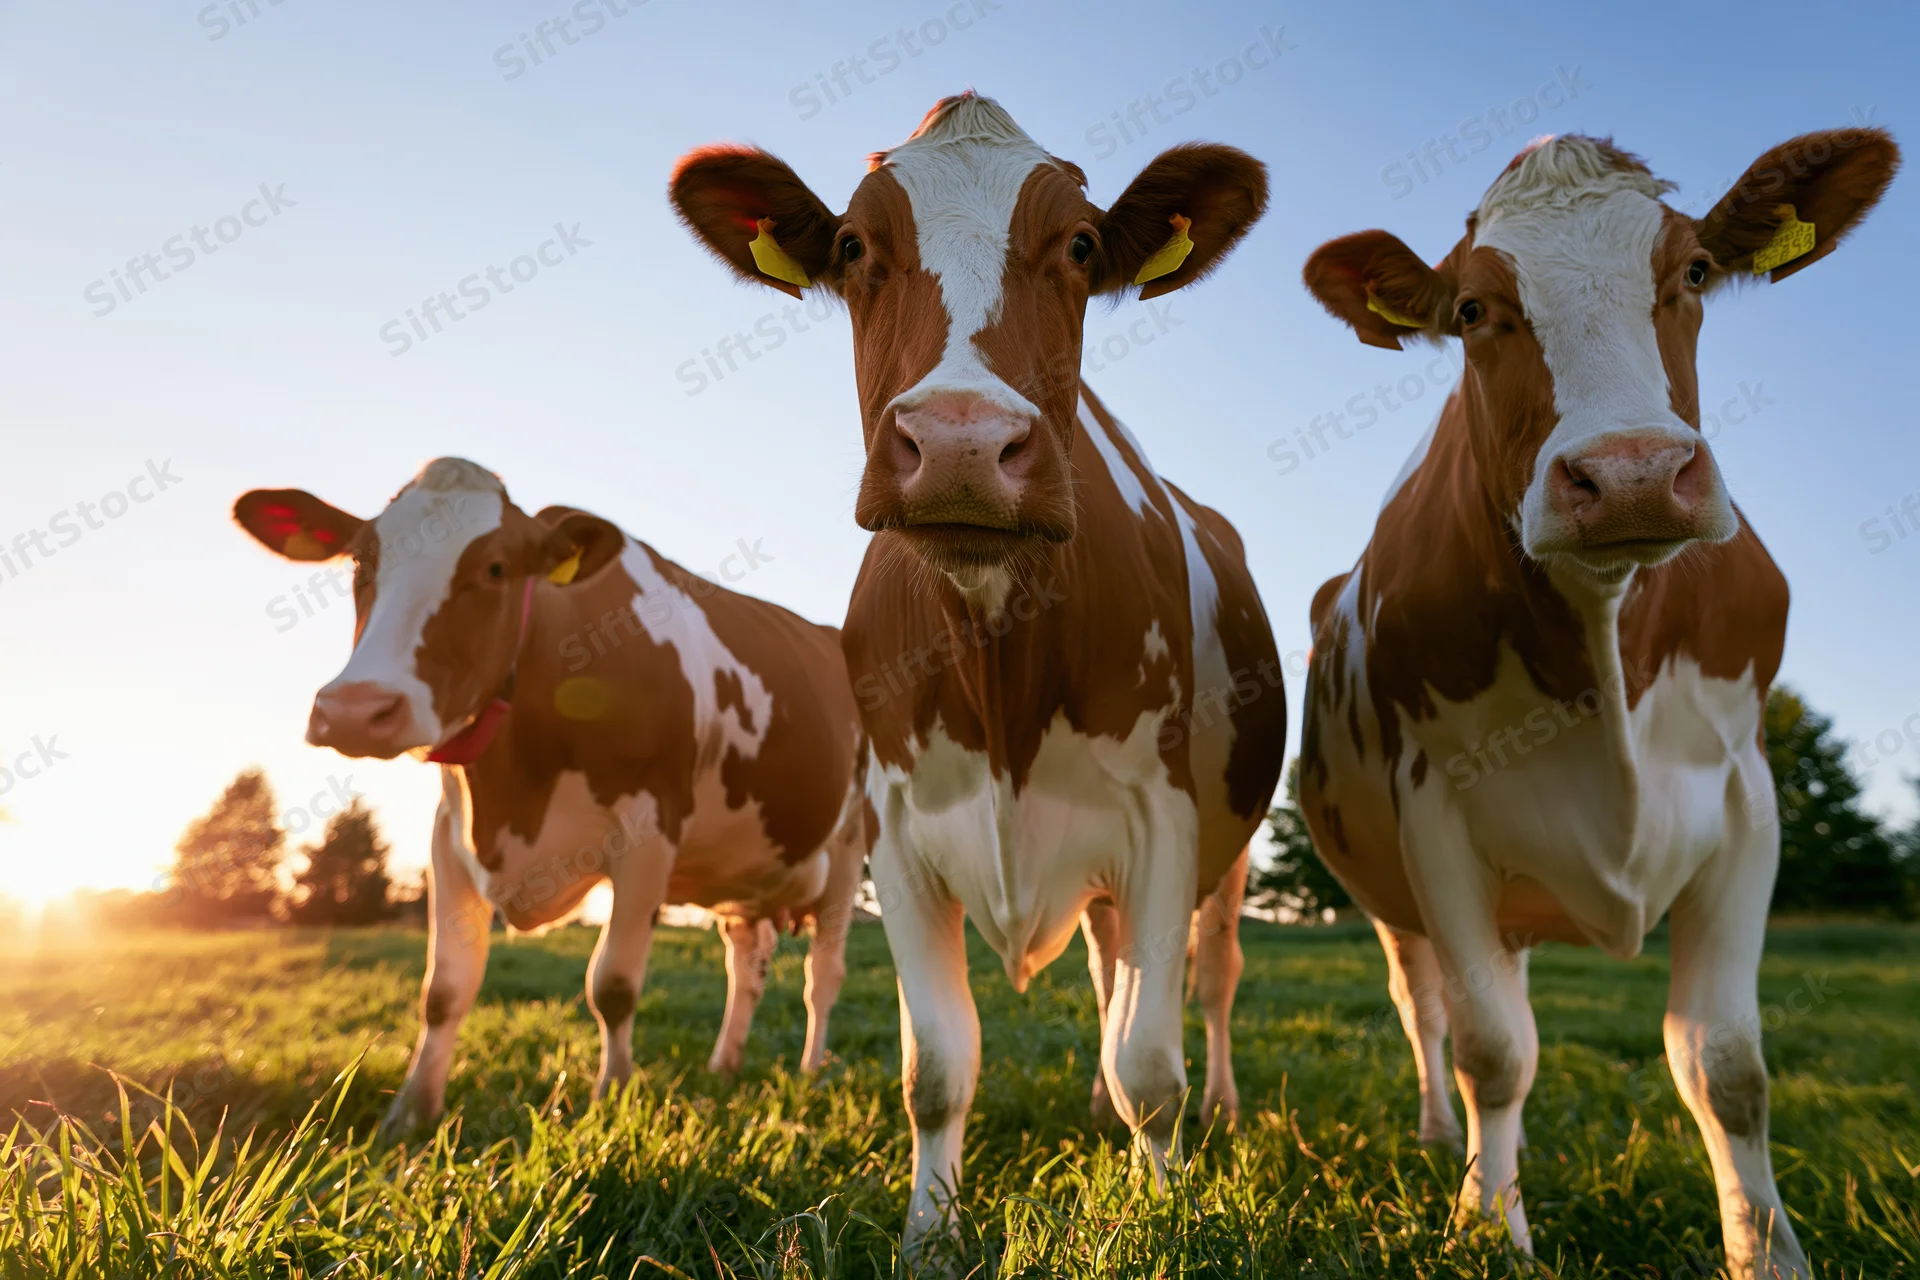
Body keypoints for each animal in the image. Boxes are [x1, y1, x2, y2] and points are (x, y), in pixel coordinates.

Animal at [232, 458, 867, 1139]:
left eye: (495, 568)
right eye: (360, 560)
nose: (354, 710)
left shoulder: (650, 827)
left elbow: (613, 983)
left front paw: (612, 1100)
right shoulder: (448, 834)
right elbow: (445, 989)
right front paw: (410, 1113)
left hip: (853, 843)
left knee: (824, 976)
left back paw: (812, 1071)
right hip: (746, 874)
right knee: (747, 967)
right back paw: (724, 1064)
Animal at [670, 92, 1287, 1254]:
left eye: (1082, 246)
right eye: (854, 246)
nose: (961, 444)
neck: (1000, 659)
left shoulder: (1165, 821)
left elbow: (1153, 1064)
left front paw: (1166, 1213)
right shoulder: (898, 836)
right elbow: (938, 1069)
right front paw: (929, 1232)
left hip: (1222, 859)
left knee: (1213, 984)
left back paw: (1220, 1101)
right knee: (1106, 967)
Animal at [1298, 129, 1897, 1277]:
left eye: (1694, 272)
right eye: (1474, 309)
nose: (1630, 475)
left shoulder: (1746, 800)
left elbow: (1726, 1063)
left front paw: (1767, 1247)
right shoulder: (1435, 813)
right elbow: (1492, 1049)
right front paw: (1489, 1227)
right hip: (1392, 897)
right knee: (1428, 1009)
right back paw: (1443, 1138)